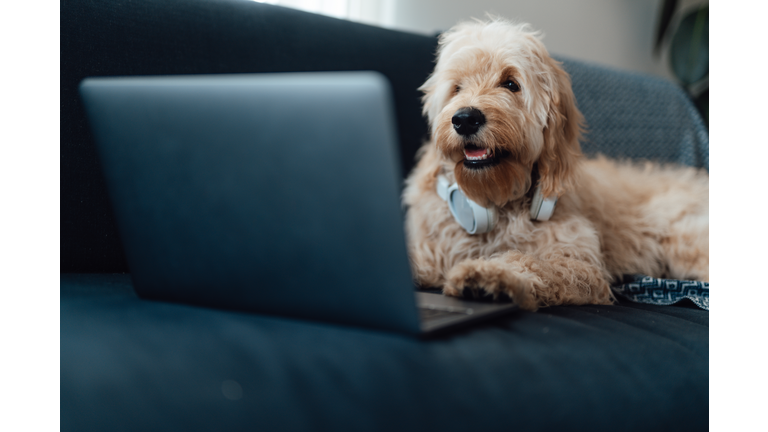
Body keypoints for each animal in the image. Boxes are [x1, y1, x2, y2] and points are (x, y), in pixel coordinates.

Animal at [402, 17, 708, 310]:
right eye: (457, 88)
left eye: (510, 83)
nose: (465, 119)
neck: (496, 202)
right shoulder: (432, 247)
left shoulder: (580, 263)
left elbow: (532, 262)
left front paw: (489, 274)